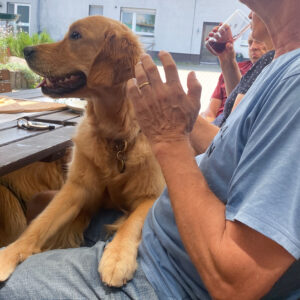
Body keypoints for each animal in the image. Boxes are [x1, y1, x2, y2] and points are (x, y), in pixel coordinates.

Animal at [0, 15, 164, 286]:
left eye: (76, 36)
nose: (26, 50)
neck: (115, 137)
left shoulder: (152, 195)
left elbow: (132, 223)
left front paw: (117, 258)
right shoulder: (76, 188)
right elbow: (40, 224)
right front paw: (10, 253)